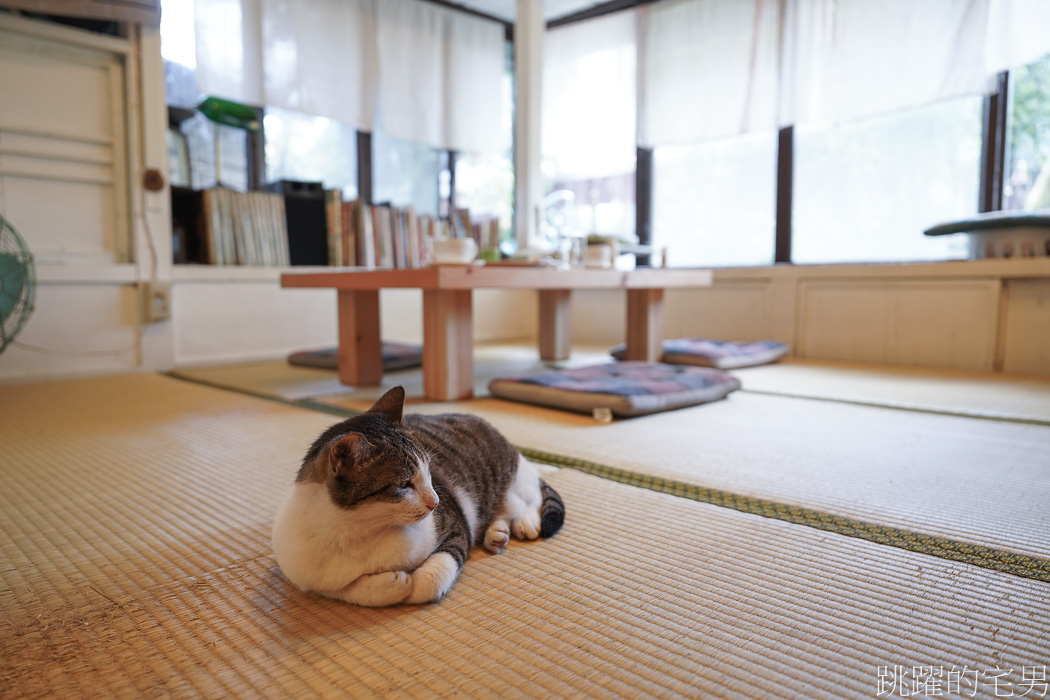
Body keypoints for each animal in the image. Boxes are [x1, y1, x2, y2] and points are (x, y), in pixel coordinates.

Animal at [270, 384, 567, 608]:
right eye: (403, 484)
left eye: (429, 472)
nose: (435, 502)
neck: (360, 529)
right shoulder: (313, 578)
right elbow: (350, 591)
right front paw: (392, 584)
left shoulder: (456, 527)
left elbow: (432, 579)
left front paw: (412, 584)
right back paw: (497, 534)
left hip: (511, 479)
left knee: (526, 497)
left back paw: (525, 522)